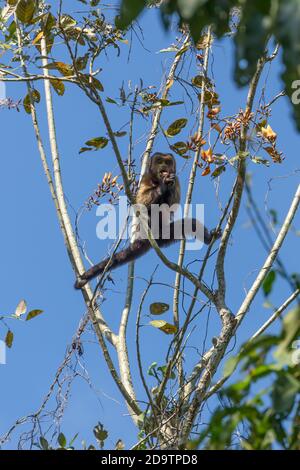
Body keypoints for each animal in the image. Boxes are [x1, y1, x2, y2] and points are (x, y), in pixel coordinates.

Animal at [75, 152, 220, 288]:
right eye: (160, 161)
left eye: (168, 162)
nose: (164, 166)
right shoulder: (145, 178)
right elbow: (141, 202)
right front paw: (163, 186)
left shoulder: (176, 179)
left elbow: (172, 204)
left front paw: (167, 185)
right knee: (148, 213)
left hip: (166, 235)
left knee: (189, 224)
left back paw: (208, 238)